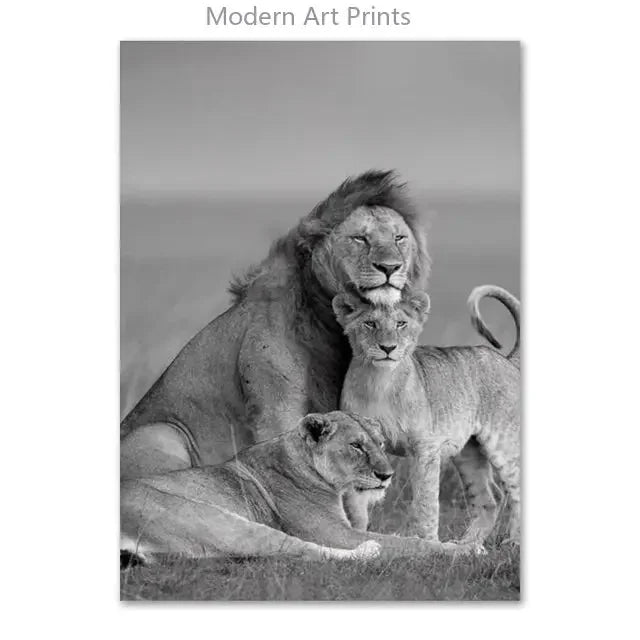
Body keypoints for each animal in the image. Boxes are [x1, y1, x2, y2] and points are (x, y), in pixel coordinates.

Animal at [120, 170, 431, 480]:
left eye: (399, 238)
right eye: (360, 239)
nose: (390, 267)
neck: (329, 322)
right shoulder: (277, 410)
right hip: (163, 433)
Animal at [121, 411, 471, 562]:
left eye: (381, 443)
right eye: (356, 446)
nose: (386, 475)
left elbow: (405, 537)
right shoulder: (334, 532)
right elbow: (408, 543)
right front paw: (462, 548)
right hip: (211, 518)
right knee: (302, 550)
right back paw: (370, 551)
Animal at [333, 288, 521, 547]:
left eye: (401, 324)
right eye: (370, 323)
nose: (388, 348)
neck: (379, 381)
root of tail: (505, 359)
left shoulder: (425, 447)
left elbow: (425, 502)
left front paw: (428, 543)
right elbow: (355, 503)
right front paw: (357, 539)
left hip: (504, 443)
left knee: (519, 490)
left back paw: (513, 543)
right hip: (468, 454)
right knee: (490, 498)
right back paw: (466, 545)